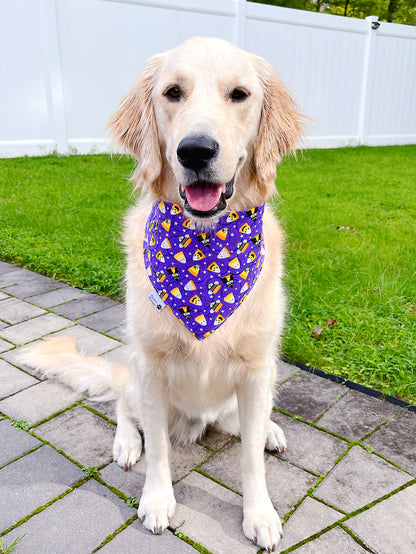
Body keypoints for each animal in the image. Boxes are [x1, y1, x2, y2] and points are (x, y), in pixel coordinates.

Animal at [22, 37, 302, 548]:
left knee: (244, 426)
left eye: (240, 94)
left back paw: (270, 430)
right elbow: (157, 451)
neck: (207, 251)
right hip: (134, 373)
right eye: (173, 92)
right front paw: (156, 500)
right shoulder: (151, 370)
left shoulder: (256, 370)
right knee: (122, 406)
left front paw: (260, 514)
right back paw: (125, 443)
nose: (195, 151)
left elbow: (250, 457)